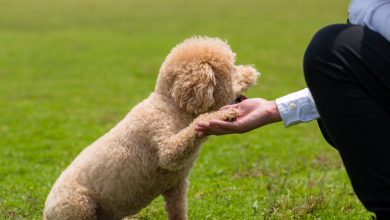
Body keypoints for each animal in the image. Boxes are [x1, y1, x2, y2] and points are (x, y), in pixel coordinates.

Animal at [43, 37, 258, 219]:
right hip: (78, 205)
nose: (253, 73)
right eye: (232, 70)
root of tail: (46, 213)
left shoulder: (176, 185)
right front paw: (221, 115)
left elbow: (178, 211)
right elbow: (179, 143)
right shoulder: (163, 142)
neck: (172, 106)